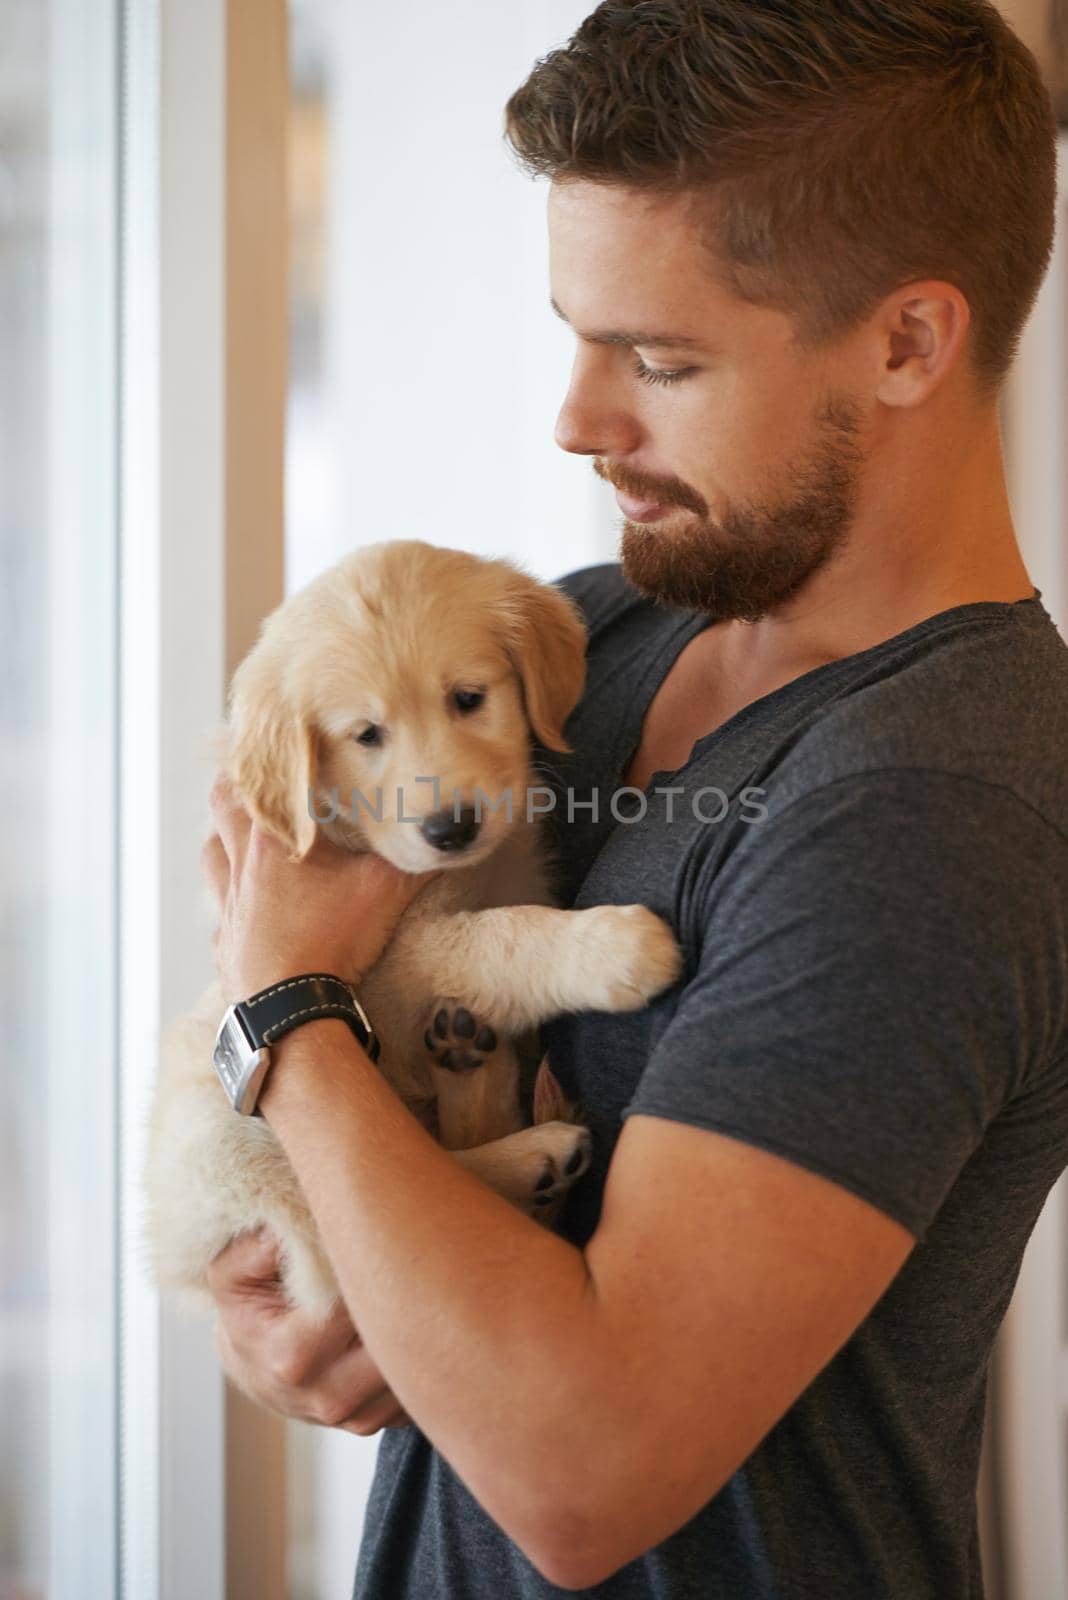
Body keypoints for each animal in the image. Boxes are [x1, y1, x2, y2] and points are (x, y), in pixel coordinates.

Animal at [143, 537, 684, 1312]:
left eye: (468, 698)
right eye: (366, 734)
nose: (450, 829)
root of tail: (178, 1258)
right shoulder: (389, 967)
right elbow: (493, 935)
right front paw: (618, 947)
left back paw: (481, 1074)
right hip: (236, 1140)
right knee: (359, 1242)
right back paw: (533, 1151)